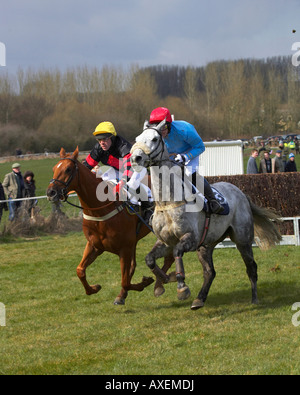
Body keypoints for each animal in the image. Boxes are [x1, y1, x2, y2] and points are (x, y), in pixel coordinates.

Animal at [47, 148, 171, 306]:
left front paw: (144, 282)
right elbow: (80, 270)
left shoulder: (124, 248)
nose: (51, 193)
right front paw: (94, 288)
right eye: (53, 169)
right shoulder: (95, 246)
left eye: (68, 169)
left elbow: (125, 281)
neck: (99, 209)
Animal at [130, 119, 282, 310]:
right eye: (137, 138)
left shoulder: (190, 238)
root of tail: (240, 192)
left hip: (242, 240)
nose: (135, 158)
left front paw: (181, 286)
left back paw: (254, 299)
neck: (167, 202)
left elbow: (178, 252)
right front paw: (163, 282)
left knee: (251, 267)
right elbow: (149, 258)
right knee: (210, 272)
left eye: (155, 139)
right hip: (206, 245)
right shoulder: (165, 242)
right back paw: (199, 299)